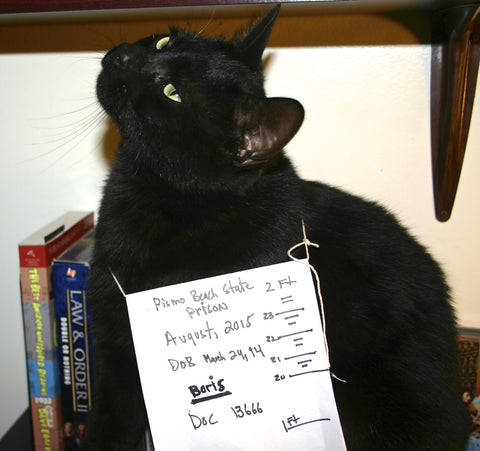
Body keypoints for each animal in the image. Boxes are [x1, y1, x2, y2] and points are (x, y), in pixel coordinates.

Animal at [82, 5, 468, 450]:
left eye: (172, 92)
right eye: (165, 41)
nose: (124, 56)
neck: (173, 203)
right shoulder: (114, 355)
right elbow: (107, 427)